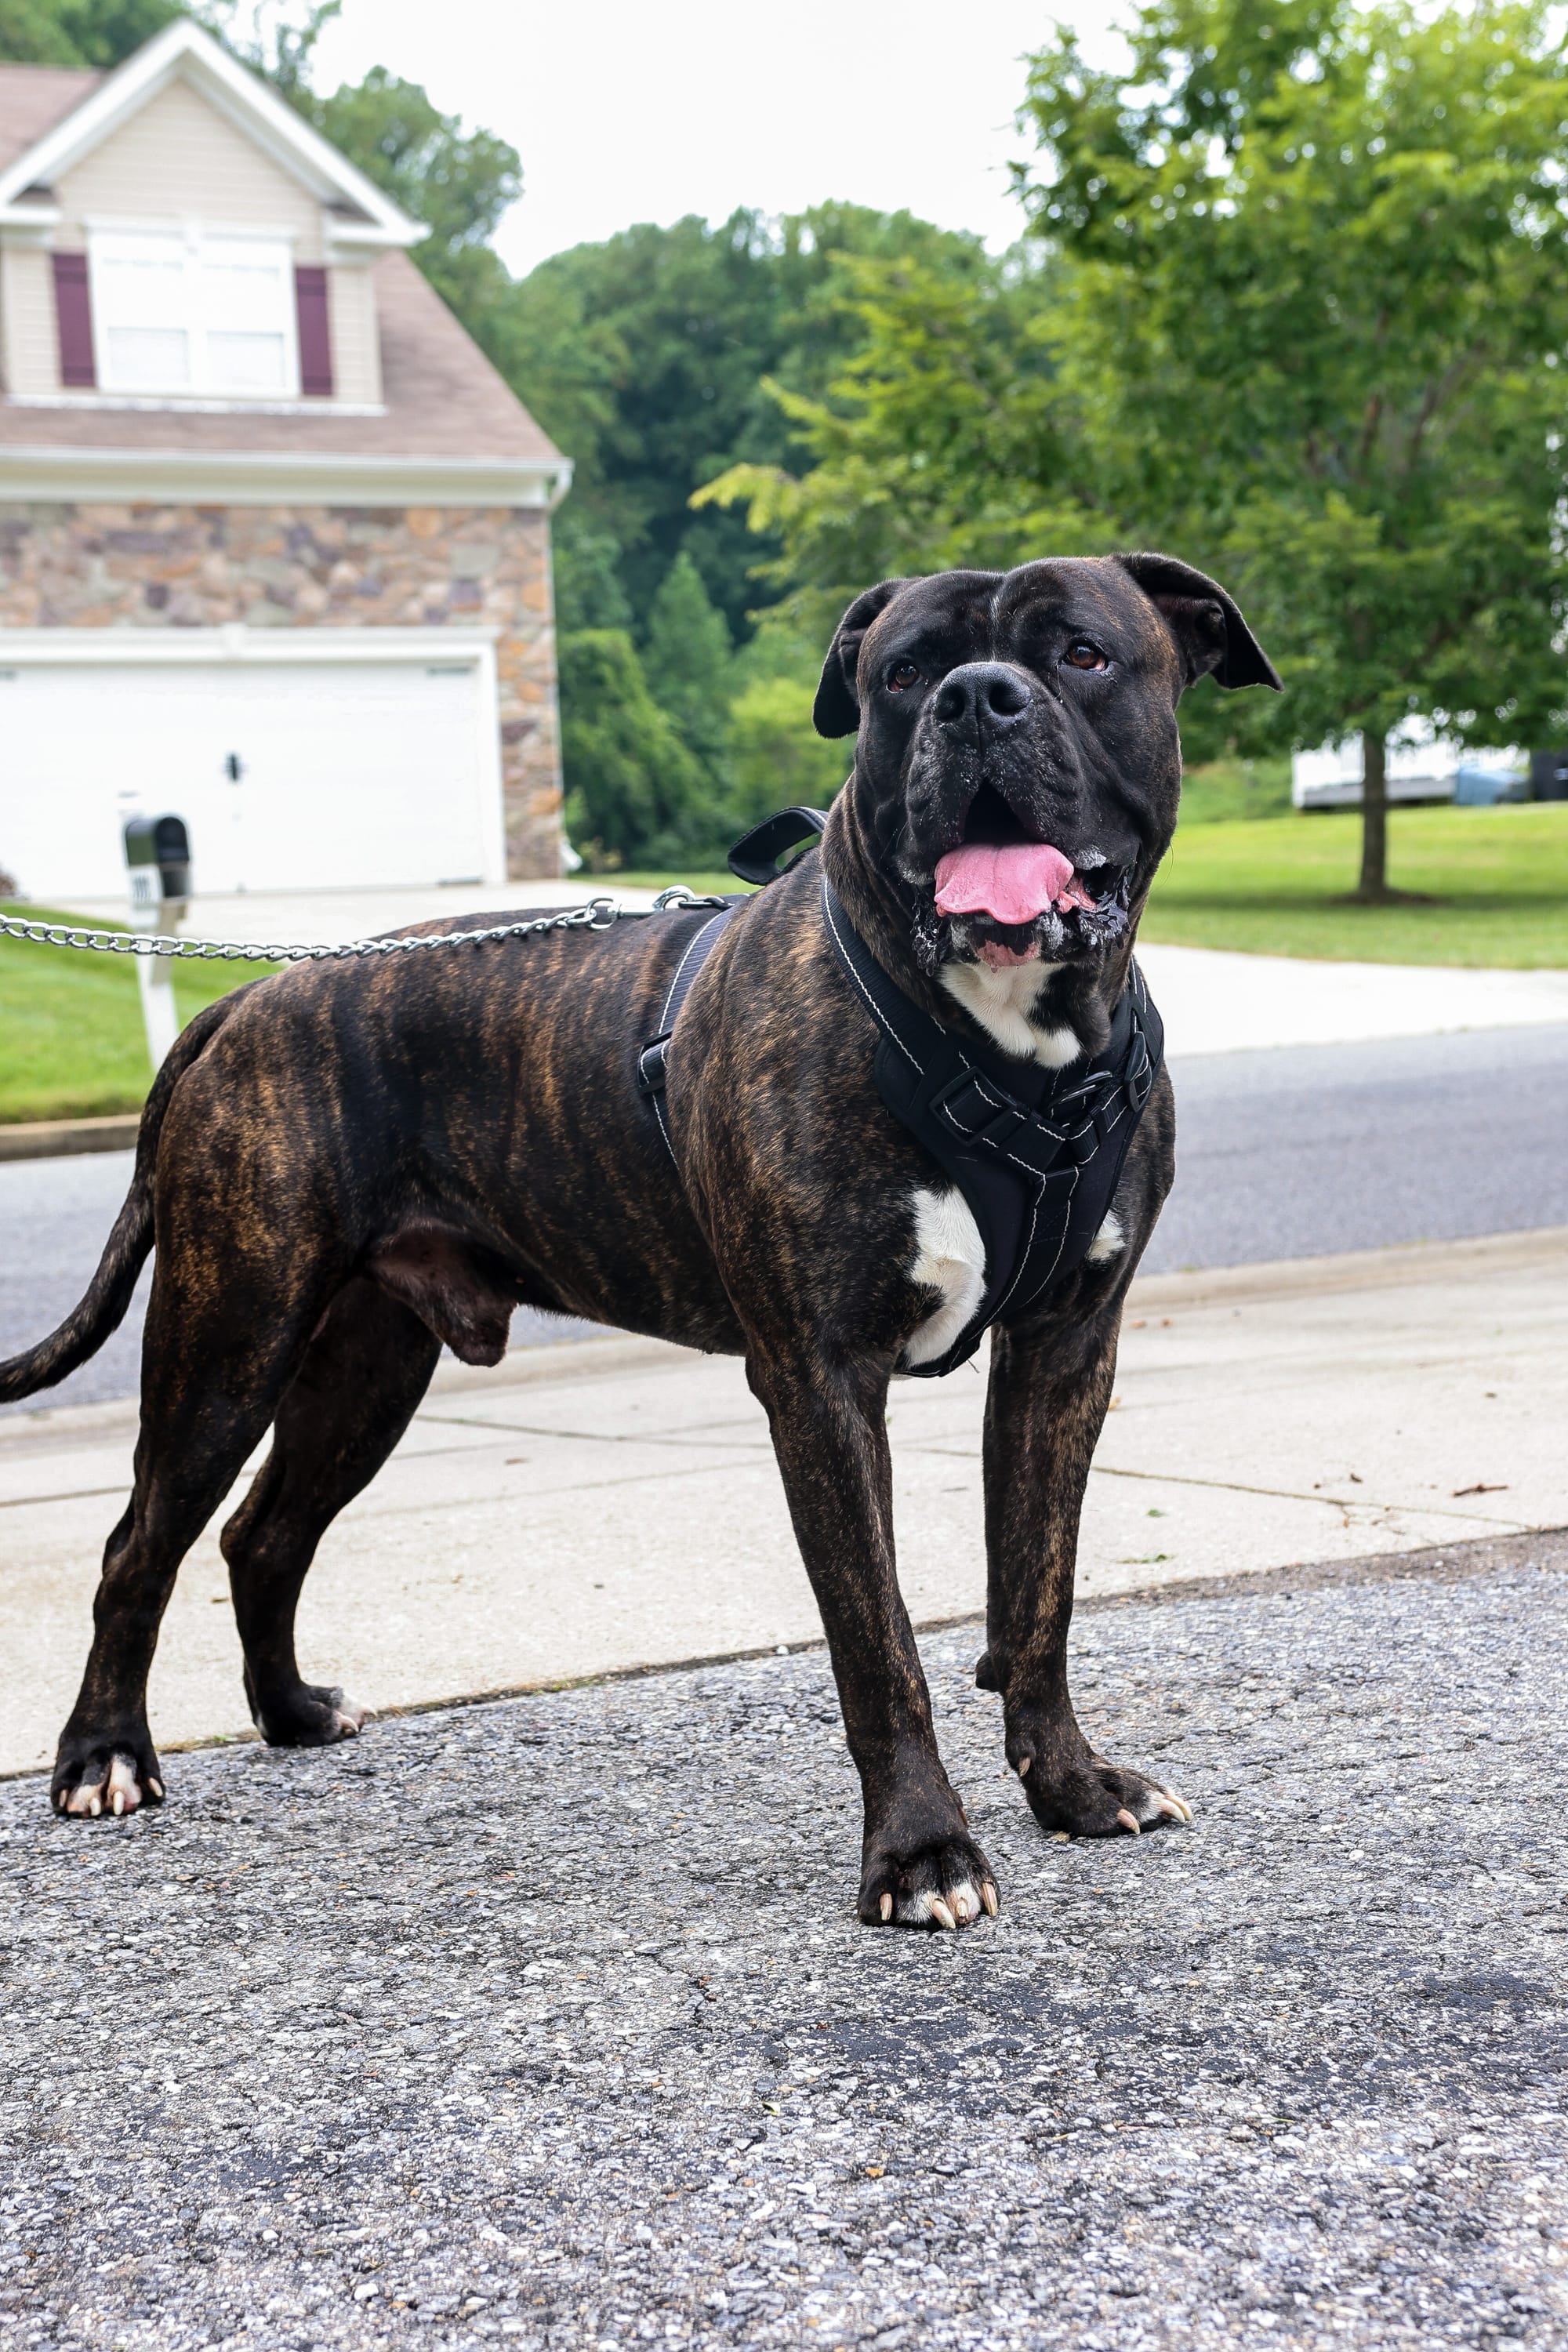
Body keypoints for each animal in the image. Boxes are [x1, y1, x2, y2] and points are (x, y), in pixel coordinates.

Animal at [2, 550, 1279, 1929]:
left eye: (1084, 653)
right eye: (903, 673)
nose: (977, 698)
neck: (1008, 1045)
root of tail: (245, 996)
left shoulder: (1063, 1349)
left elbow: (1038, 1592)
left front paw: (1074, 1788)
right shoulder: (821, 1381)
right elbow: (878, 1640)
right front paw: (922, 1854)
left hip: (365, 1365)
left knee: (264, 1532)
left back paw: (290, 1712)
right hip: (228, 1341)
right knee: (141, 1543)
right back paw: (103, 1758)